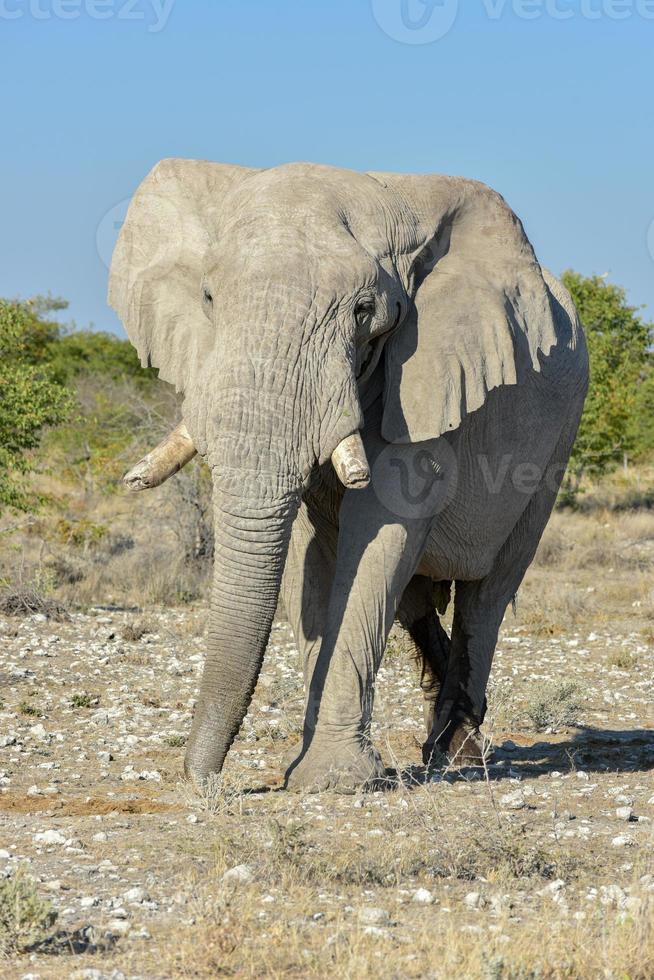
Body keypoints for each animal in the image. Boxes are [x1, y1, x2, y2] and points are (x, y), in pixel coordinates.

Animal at [110, 159, 592, 788]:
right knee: (416, 601)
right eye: (209, 297)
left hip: (559, 440)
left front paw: (332, 780)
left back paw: (458, 753)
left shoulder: (423, 374)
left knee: (488, 593)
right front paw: (306, 771)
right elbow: (306, 552)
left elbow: (387, 519)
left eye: (364, 311)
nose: (205, 781)